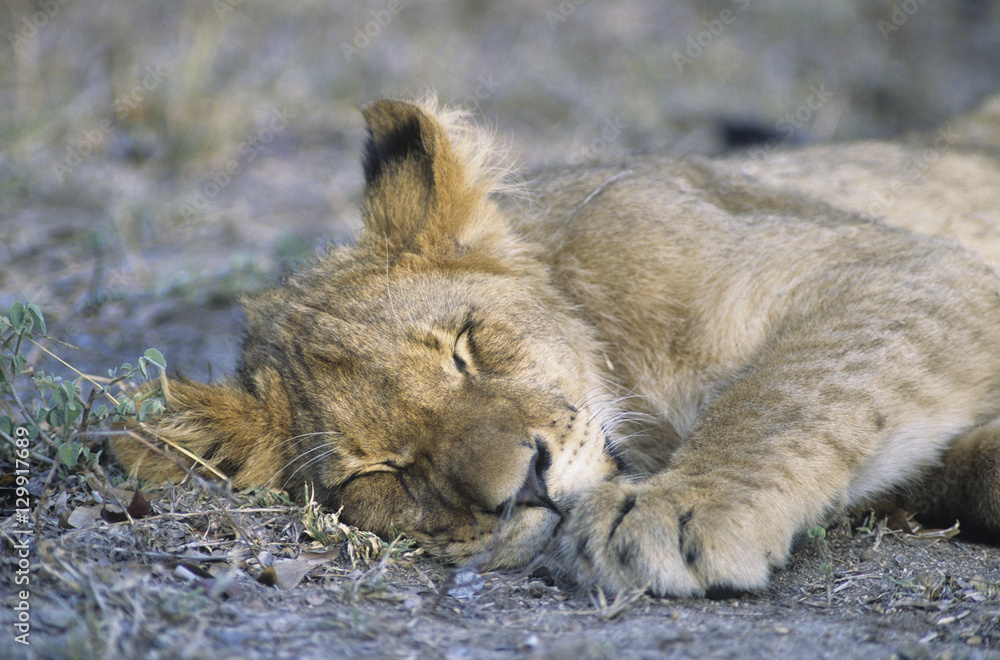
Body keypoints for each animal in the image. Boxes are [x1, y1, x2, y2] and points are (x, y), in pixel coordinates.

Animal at [114, 95, 1000, 598]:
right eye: (379, 472)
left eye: (465, 348)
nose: (525, 487)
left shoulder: (906, 267)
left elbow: (787, 392)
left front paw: (677, 507)